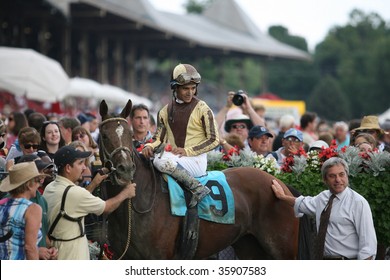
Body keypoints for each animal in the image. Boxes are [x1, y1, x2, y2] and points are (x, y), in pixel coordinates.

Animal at [97, 99, 298, 260]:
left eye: (129, 135)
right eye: (105, 135)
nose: (125, 169)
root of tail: (280, 184)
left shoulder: (158, 256)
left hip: (283, 249)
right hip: (249, 246)